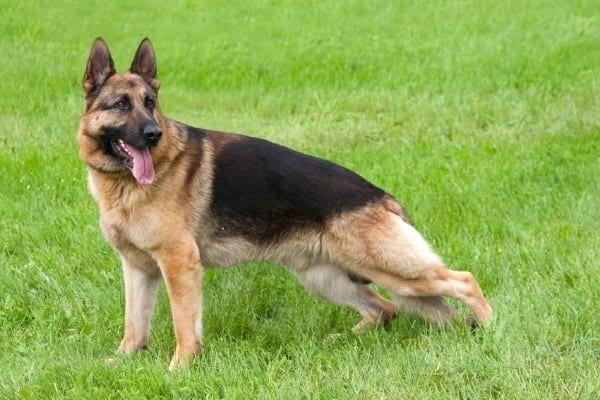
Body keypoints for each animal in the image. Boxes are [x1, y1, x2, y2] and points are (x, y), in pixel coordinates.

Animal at [77, 38, 494, 372]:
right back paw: (345, 338)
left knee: (464, 281)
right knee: (385, 309)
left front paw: (179, 369)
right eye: (121, 105)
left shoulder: (179, 265)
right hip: (326, 279)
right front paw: (124, 360)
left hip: (393, 269)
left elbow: (184, 324)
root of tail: (381, 196)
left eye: (150, 103)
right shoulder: (137, 268)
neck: (125, 183)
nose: (153, 134)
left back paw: (491, 329)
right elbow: (134, 324)